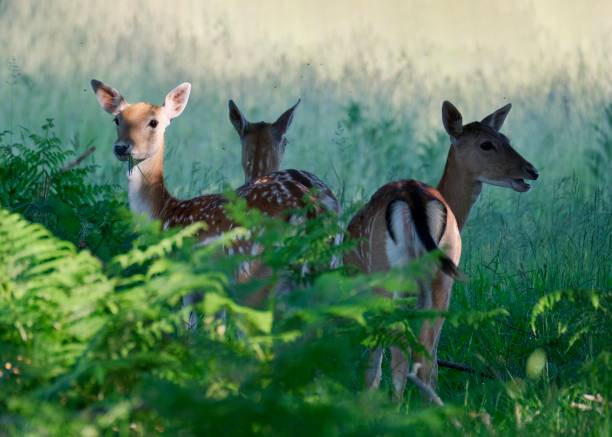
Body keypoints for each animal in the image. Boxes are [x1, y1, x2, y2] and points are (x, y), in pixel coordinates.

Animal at [90, 79, 340, 310]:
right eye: (117, 120)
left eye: (154, 122)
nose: (121, 147)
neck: (164, 212)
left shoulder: (185, 277)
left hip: (251, 271)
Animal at [346, 100, 536, 400]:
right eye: (487, 144)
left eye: (506, 139)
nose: (531, 171)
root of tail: (413, 196)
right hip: (440, 274)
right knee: (421, 353)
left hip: (391, 277)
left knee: (402, 352)